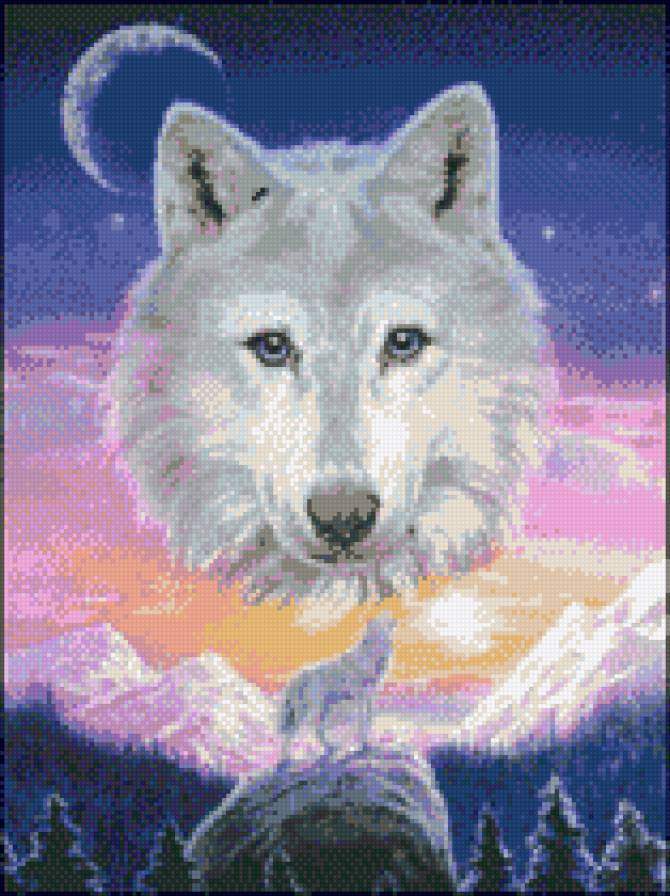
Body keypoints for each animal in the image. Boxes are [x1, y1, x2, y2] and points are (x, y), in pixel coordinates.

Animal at [277, 613, 397, 763]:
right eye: (381, 621)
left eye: (387, 619)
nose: (395, 620)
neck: (370, 658)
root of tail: (296, 677)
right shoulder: (360, 698)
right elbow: (361, 722)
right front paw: (362, 746)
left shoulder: (370, 698)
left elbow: (368, 720)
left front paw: (367, 744)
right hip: (309, 710)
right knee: (296, 731)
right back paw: (286, 758)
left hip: (325, 707)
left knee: (316, 728)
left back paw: (330, 749)